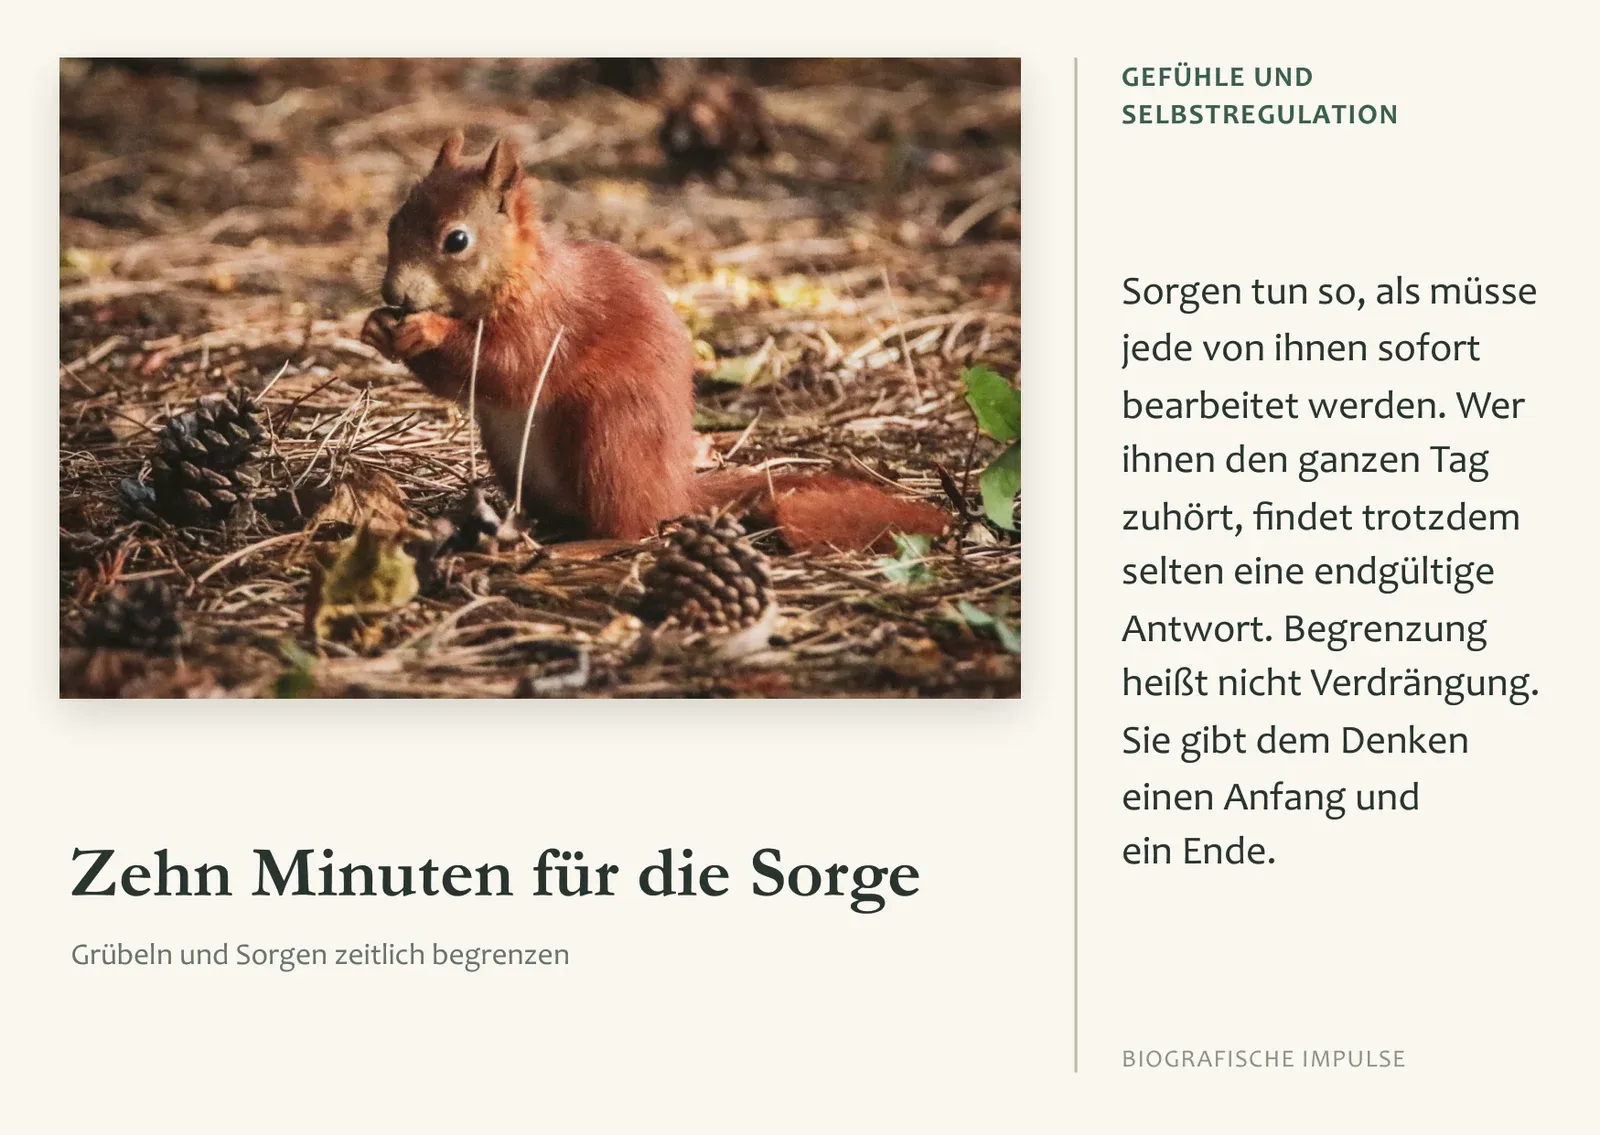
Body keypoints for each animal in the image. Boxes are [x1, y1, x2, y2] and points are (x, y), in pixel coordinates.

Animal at [361, 132, 948, 552]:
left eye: (457, 240)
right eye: (391, 224)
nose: (394, 293)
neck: (518, 278)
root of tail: (673, 488)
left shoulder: (548, 323)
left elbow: (505, 366)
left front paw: (426, 329)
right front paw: (375, 327)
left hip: (606, 432)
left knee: (630, 526)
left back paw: (583, 546)